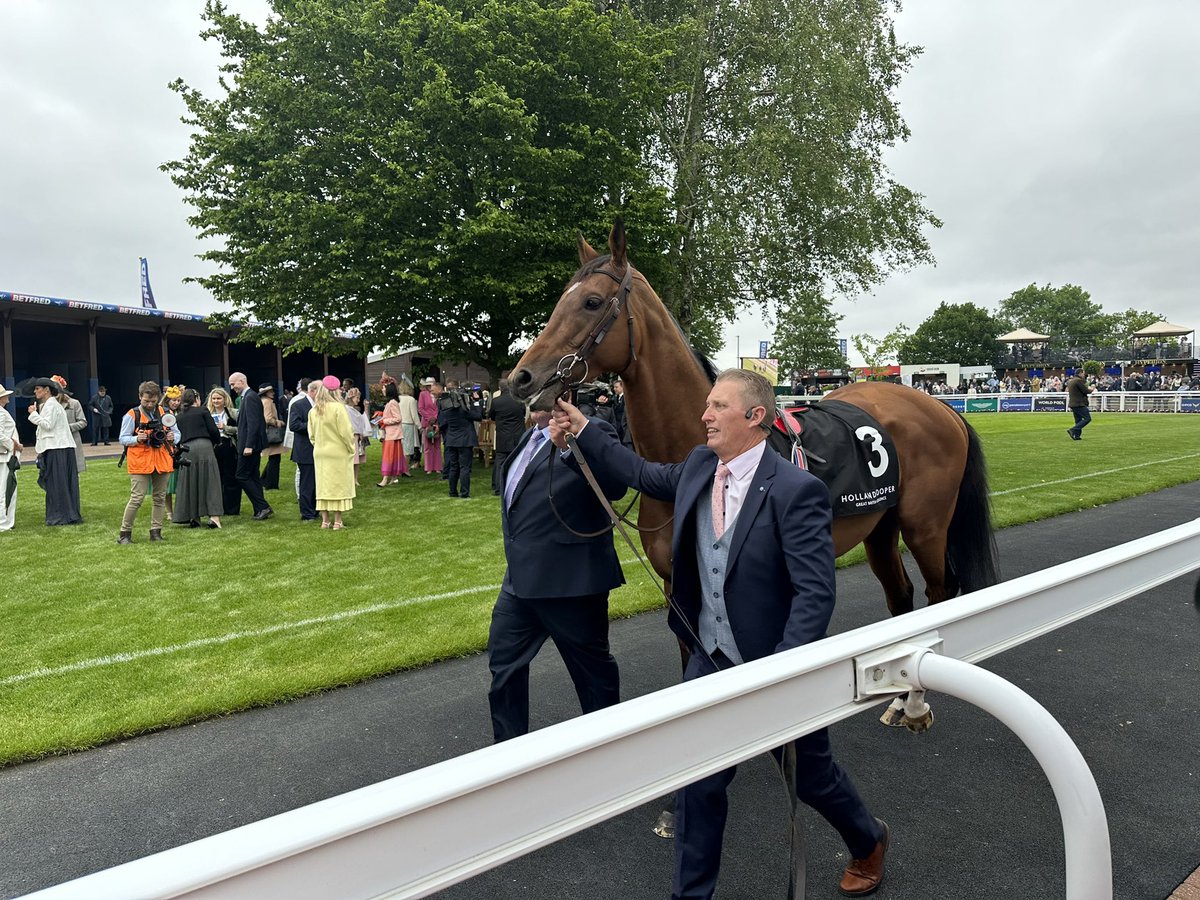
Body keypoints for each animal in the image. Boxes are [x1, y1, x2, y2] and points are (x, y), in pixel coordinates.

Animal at [511, 220, 998, 734]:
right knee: (900, 597)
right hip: (879, 526)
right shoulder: (680, 587)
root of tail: (941, 407)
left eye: (591, 302)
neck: (694, 444)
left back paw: (916, 705)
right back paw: (898, 698)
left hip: (925, 526)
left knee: (941, 592)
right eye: (560, 299)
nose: (521, 378)